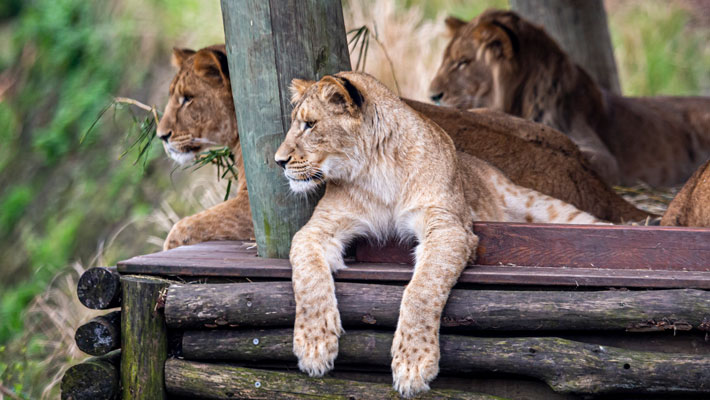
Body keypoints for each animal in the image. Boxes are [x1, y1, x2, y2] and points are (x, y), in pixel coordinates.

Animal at [156, 45, 649, 251]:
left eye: (186, 98)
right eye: (174, 95)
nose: (160, 135)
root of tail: (589, 175)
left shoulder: (257, 202)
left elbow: (184, 227)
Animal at [276, 72, 605, 397]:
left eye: (310, 124)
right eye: (297, 123)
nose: (279, 161)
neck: (374, 171)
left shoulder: (448, 227)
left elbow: (422, 290)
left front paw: (413, 364)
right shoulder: (318, 228)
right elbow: (308, 277)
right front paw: (314, 345)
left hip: (542, 206)